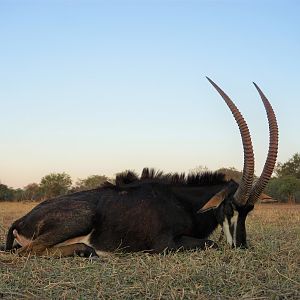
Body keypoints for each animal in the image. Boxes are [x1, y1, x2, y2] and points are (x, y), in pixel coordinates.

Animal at [1, 78, 278, 258]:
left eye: (249, 211)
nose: (241, 246)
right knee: (27, 253)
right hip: (81, 217)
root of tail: (20, 220)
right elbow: (211, 244)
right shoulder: (164, 244)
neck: (183, 203)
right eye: (229, 207)